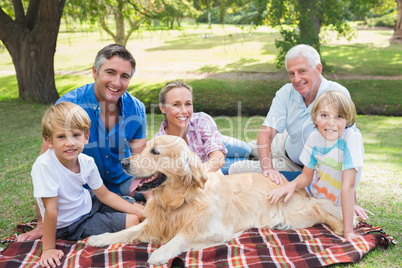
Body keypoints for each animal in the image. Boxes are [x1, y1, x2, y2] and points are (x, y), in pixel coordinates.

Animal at [87, 135, 346, 264]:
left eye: (155, 152)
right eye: (143, 149)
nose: (124, 162)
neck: (179, 201)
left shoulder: (215, 230)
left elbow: (182, 235)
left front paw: (161, 253)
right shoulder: (154, 223)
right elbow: (126, 232)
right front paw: (100, 238)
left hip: (298, 213)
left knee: (323, 207)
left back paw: (342, 227)